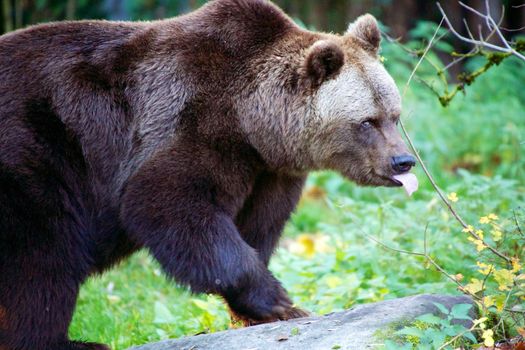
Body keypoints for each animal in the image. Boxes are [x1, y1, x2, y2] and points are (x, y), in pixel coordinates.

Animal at [1, 1, 414, 348]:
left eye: (395, 115)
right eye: (367, 121)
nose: (404, 161)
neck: (254, 124)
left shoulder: (270, 171)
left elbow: (258, 227)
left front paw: (254, 309)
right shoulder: (191, 126)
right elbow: (168, 204)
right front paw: (281, 302)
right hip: (38, 156)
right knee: (45, 258)